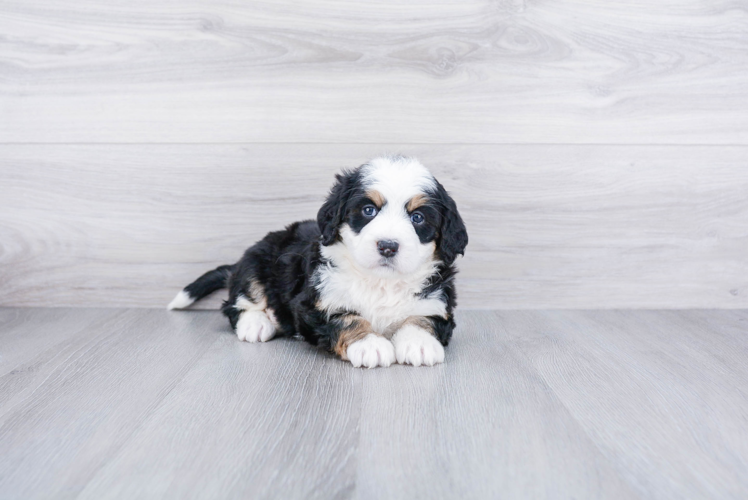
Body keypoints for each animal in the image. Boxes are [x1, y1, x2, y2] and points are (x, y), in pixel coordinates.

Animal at [168, 156, 468, 368]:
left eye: (418, 218)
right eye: (368, 210)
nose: (387, 245)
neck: (380, 282)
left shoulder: (438, 301)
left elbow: (423, 317)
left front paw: (419, 343)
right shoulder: (315, 303)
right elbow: (346, 318)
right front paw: (370, 344)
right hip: (256, 261)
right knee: (239, 302)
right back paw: (257, 324)